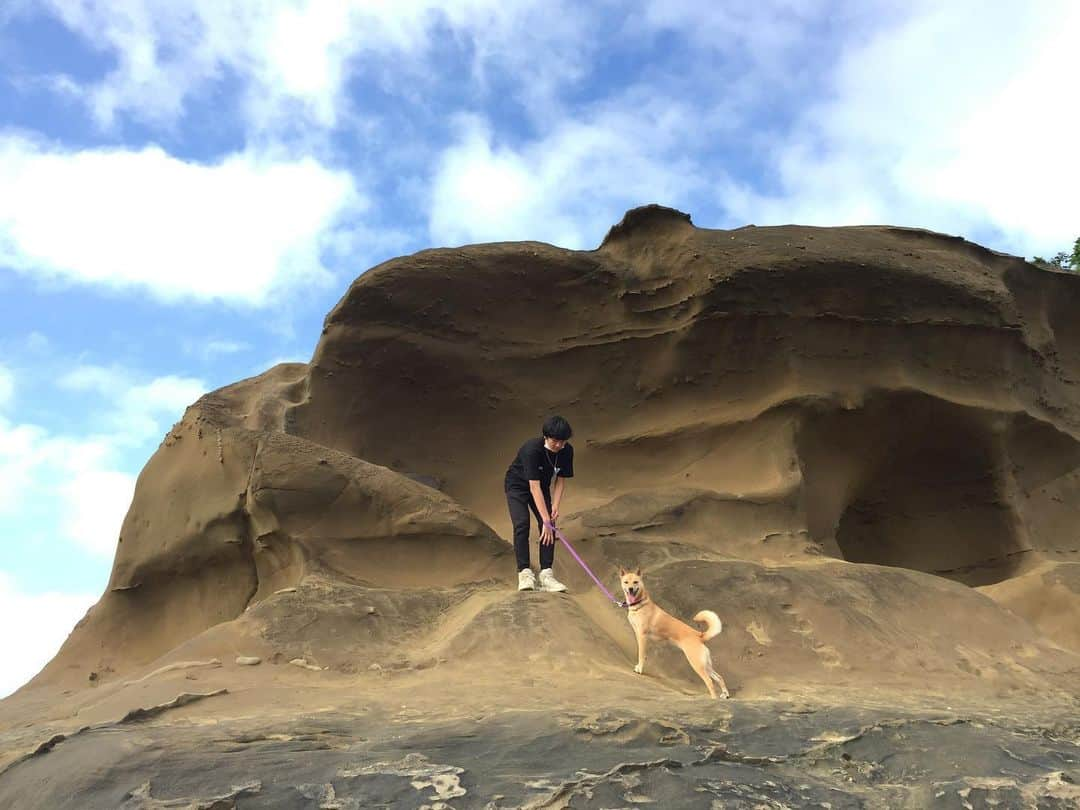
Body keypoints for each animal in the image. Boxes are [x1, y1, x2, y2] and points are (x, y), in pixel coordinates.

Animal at [622, 570, 730, 699]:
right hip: (706, 665)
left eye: (635, 582)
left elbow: (641, 655)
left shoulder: (642, 636)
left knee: (709, 681)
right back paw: (725, 695)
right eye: (626, 582)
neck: (640, 605)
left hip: (697, 664)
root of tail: (699, 635)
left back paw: (713, 699)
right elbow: (643, 654)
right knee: (719, 677)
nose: (630, 589)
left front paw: (639, 669)